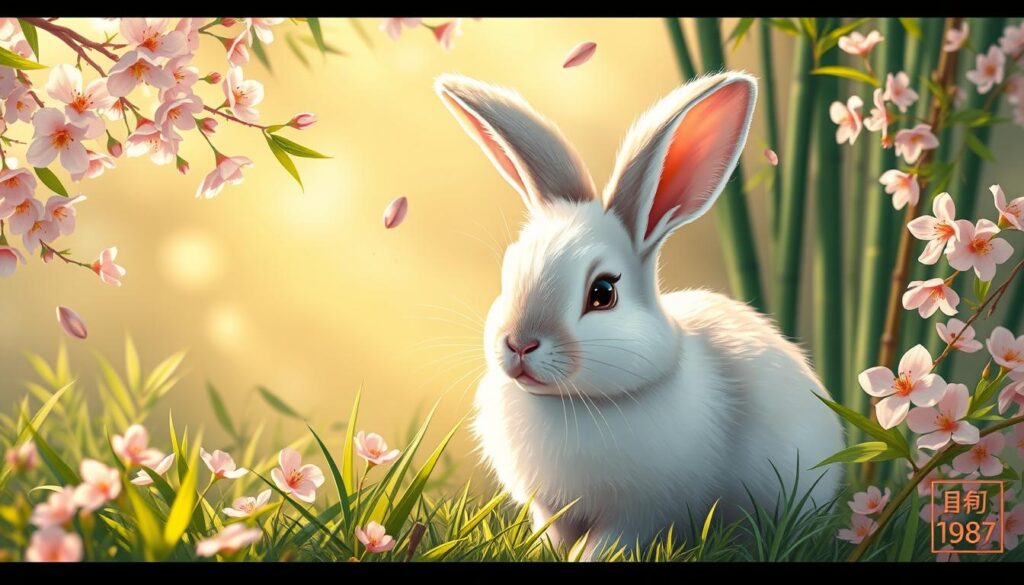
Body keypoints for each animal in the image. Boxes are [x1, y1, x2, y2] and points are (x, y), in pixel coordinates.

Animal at [434, 71, 845, 559]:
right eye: (509, 269)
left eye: (603, 293)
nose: (520, 343)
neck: (576, 402)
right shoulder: (550, 508)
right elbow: (554, 537)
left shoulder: (639, 513)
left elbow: (605, 544)